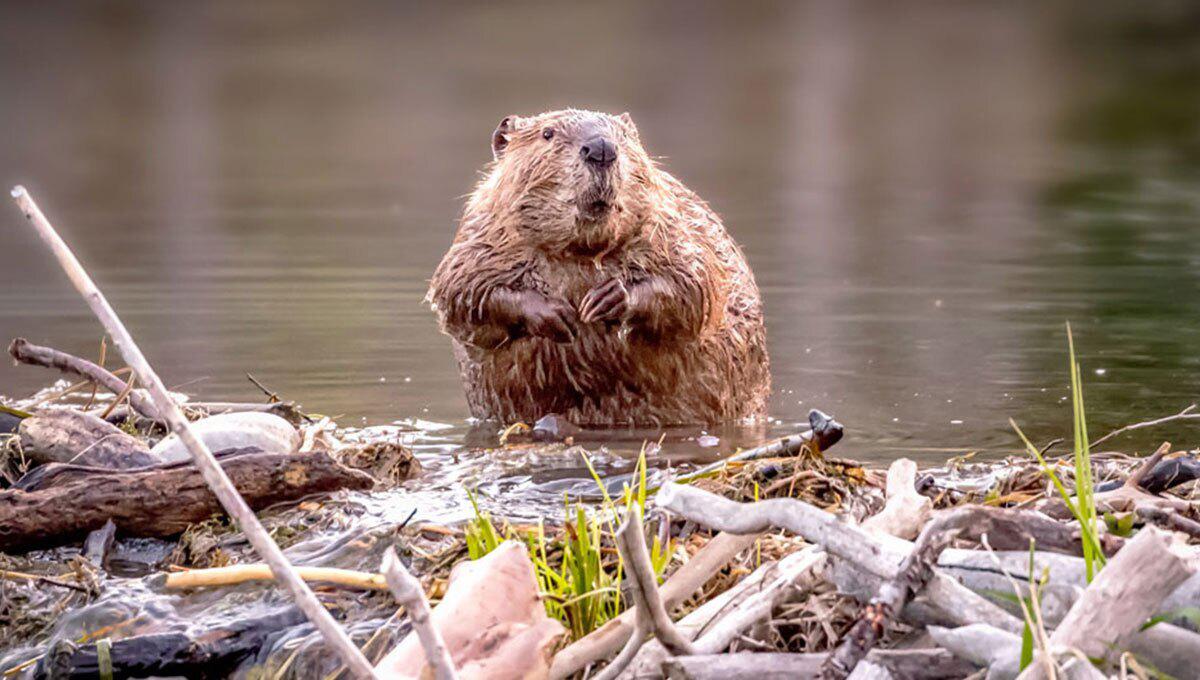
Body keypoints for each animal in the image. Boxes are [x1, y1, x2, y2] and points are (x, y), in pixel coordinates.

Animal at [427, 107, 772, 426]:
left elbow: (695, 284)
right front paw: (557, 314)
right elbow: (460, 292)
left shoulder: (673, 225)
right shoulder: (481, 236)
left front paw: (606, 300)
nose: (601, 148)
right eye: (548, 133)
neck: (580, 252)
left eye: (623, 135)